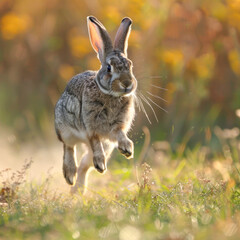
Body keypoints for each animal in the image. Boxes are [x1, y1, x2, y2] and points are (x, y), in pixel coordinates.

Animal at [54, 15, 137, 194]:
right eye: (109, 68)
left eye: (130, 65)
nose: (127, 84)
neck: (111, 95)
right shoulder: (91, 128)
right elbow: (95, 142)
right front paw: (101, 161)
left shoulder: (115, 128)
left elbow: (120, 134)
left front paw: (127, 148)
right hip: (64, 130)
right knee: (69, 148)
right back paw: (70, 175)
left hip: (104, 147)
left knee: (85, 164)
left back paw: (78, 190)